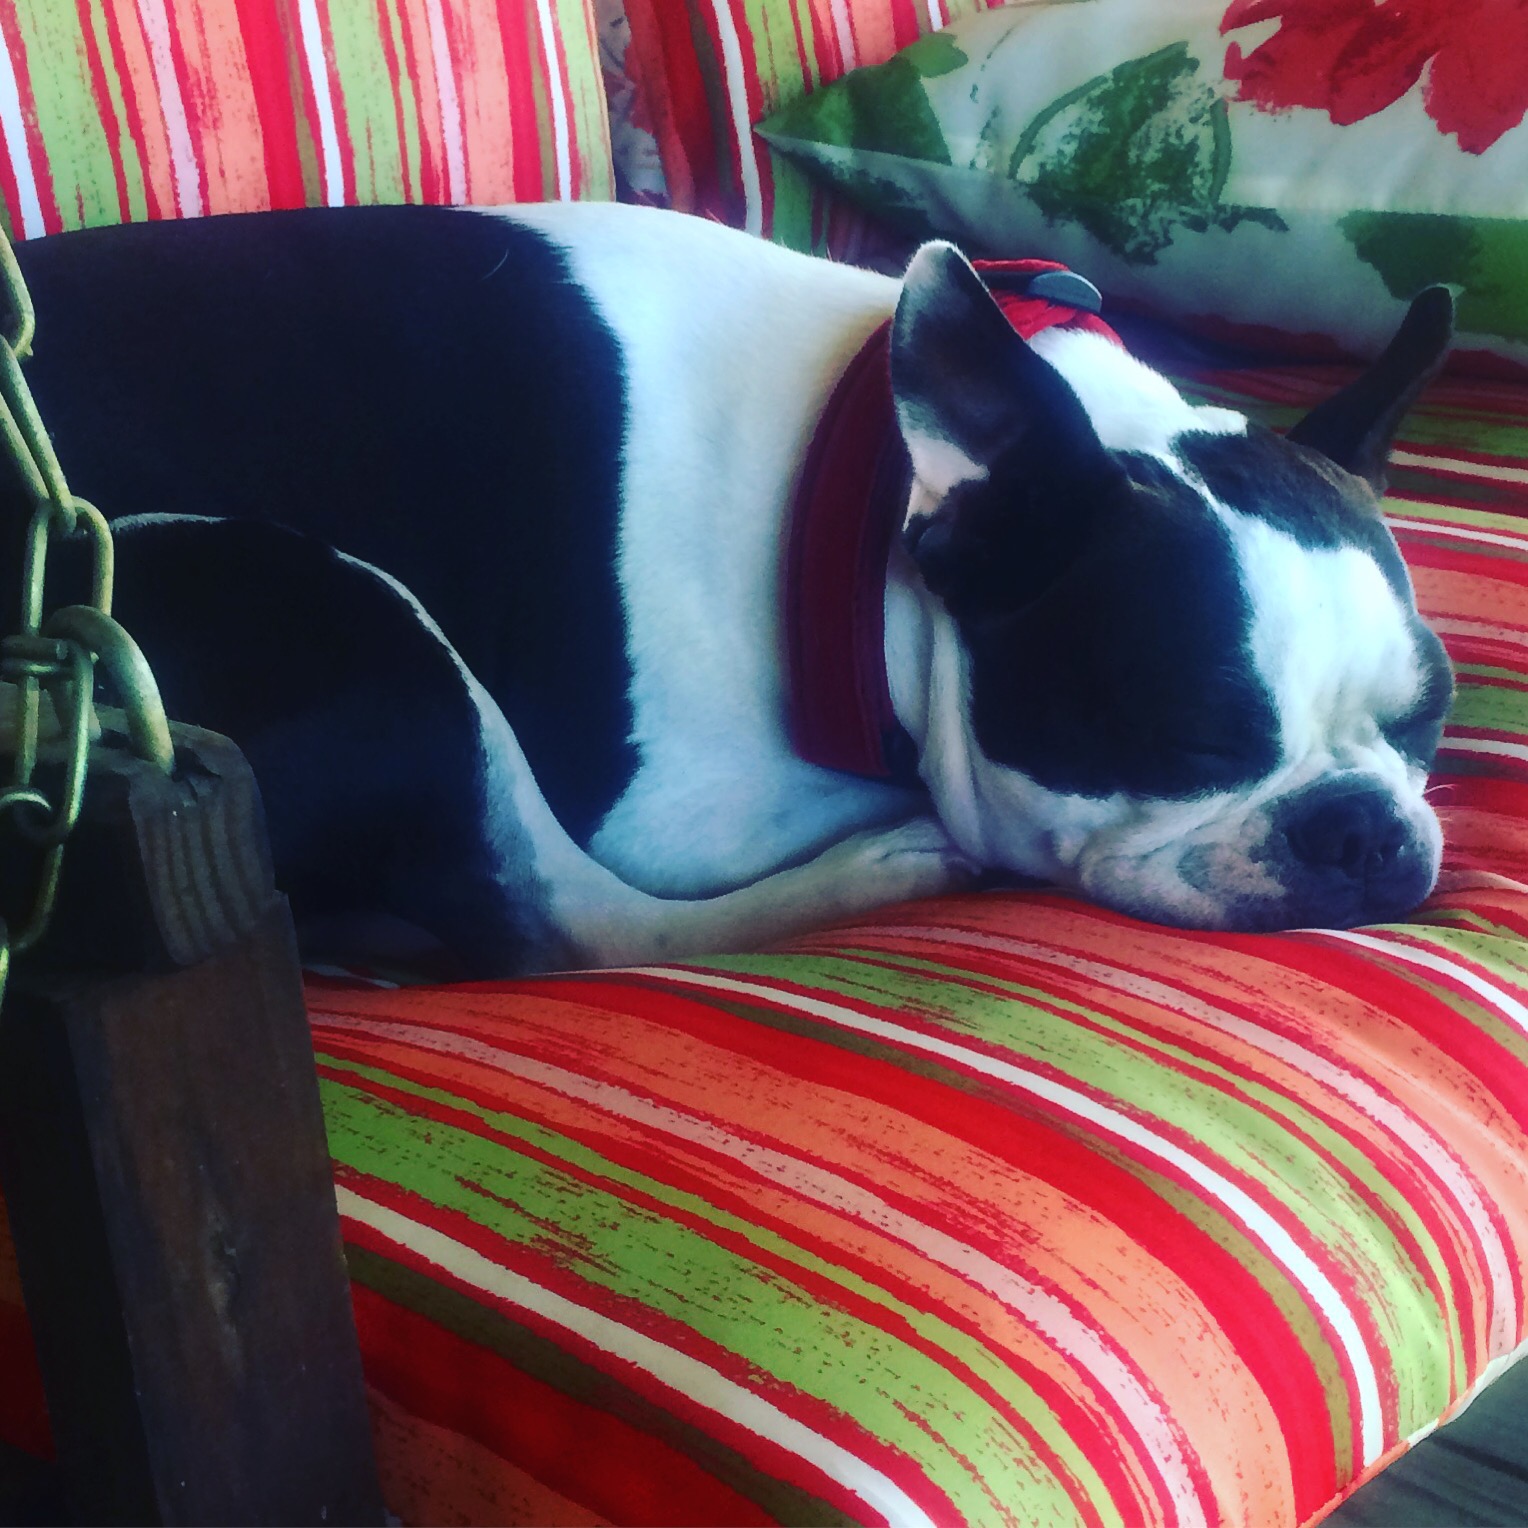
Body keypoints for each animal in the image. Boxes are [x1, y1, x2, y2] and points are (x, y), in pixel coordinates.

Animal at [12, 202, 1453, 974]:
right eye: (1196, 740)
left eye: (1431, 722)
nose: (1363, 828)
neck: (863, 500)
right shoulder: (675, 816)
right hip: (328, 609)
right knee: (574, 920)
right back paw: (873, 874)